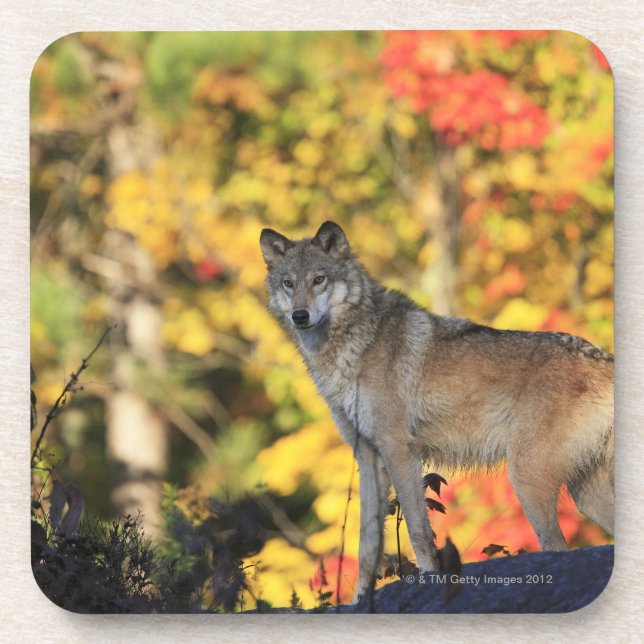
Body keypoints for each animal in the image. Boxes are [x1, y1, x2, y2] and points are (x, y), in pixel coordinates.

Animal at [260, 221, 614, 601]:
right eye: (289, 283)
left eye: (319, 279)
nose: (299, 316)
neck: (354, 345)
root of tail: (603, 358)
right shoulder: (368, 457)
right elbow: (367, 544)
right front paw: (360, 600)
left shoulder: (400, 450)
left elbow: (418, 530)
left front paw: (428, 583)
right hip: (582, 495)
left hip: (527, 479)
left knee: (556, 547)